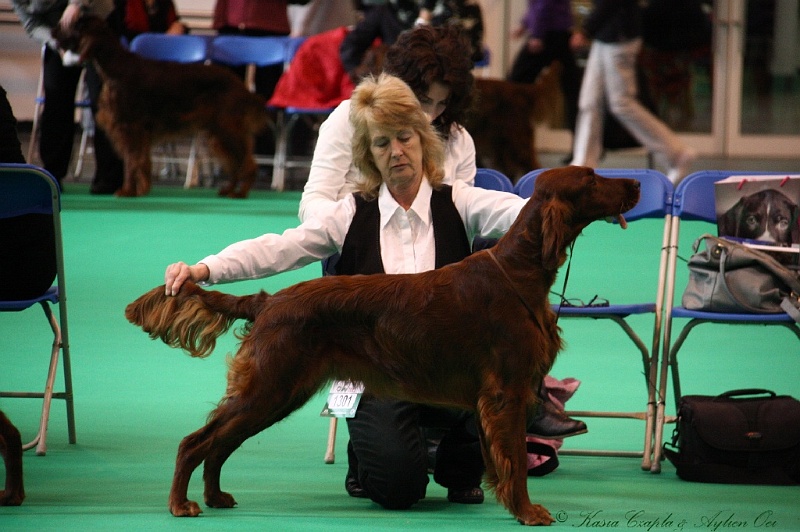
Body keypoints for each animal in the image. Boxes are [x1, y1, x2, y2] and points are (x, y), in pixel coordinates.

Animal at [55, 18, 272, 200]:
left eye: (73, 26)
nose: (54, 34)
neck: (115, 67)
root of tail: (240, 84)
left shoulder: (129, 127)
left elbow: (131, 162)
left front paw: (127, 191)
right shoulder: (137, 132)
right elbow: (141, 161)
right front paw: (141, 189)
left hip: (228, 129)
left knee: (247, 162)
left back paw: (240, 193)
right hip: (217, 133)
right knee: (235, 163)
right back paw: (229, 189)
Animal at [123, 166, 636, 524]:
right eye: (591, 178)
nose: (634, 183)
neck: (520, 272)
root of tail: (268, 300)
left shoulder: (498, 395)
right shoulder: (507, 390)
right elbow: (515, 460)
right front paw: (529, 512)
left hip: (279, 392)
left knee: (220, 443)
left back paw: (214, 496)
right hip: (270, 385)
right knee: (196, 441)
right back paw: (182, 504)